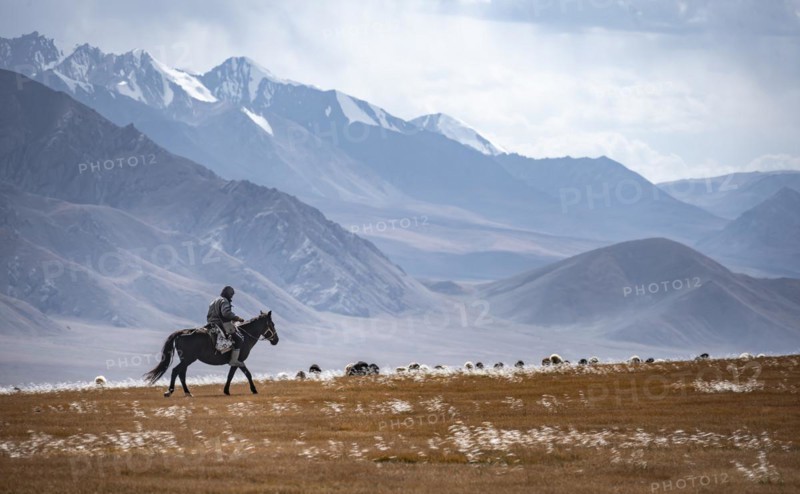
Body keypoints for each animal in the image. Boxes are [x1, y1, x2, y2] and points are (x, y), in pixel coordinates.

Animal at [143, 310, 279, 397]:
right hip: (188, 359)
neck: (245, 336)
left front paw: (226, 391)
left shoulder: (235, 362)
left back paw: (188, 392)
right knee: (176, 371)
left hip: (186, 360)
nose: (276, 340)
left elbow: (230, 376)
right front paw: (254, 389)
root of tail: (182, 333)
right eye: (272, 324)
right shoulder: (239, 360)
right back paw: (169, 392)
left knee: (182, 374)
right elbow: (247, 374)